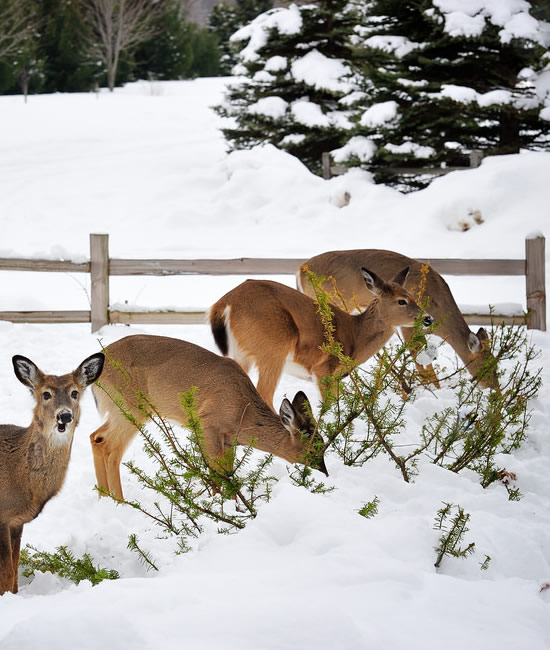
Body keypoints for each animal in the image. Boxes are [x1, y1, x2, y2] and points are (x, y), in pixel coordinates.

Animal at [0, 352, 104, 588]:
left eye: (75, 393)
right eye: (46, 394)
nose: (64, 416)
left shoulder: (16, 522)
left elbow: (14, 576)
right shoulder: (2, 518)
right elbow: (7, 574)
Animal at [88, 332, 326, 498]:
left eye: (324, 444)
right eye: (311, 448)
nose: (324, 473)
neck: (243, 411)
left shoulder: (229, 441)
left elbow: (228, 475)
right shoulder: (208, 425)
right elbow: (216, 475)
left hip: (121, 410)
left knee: (96, 437)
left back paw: (104, 498)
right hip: (131, 408)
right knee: (111, 448)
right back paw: (120, 502)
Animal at [211, 266, 436, 408]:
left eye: (413, 296)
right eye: (401, 301)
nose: (428, 318)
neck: (356, 336)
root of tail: (224, 304)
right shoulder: (323, 369)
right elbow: (331, 409)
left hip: (241, 354)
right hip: (273, 348)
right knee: (264, 394)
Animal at [298, 248, 500, 390]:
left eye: (497, 365)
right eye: (486, 367)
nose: (495, 391)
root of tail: (300, 270)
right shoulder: (408, 326)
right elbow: (422, 366)